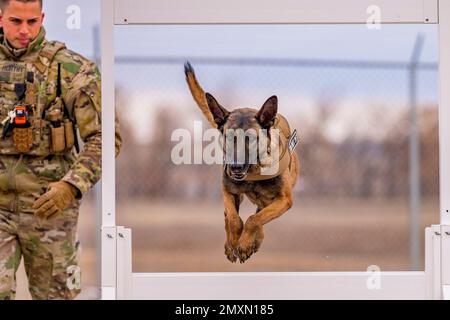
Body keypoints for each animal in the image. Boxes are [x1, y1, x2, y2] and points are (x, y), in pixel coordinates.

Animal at [183, 62, 298, 262]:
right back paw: (233, 243)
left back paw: (254, 240)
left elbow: (254, 219)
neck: (254, 172)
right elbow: (234, 219)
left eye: (250, 139)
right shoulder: (228, 191)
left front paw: (244, 245)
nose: (235, 166)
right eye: (228, 137)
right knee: (228, 216)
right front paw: (235, 243)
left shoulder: (284, 200)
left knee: (258, 215)